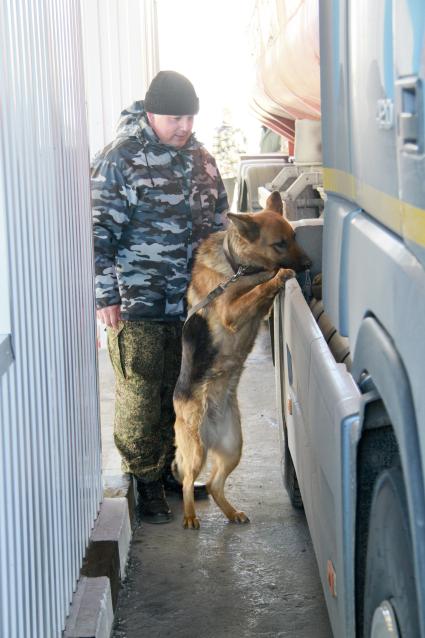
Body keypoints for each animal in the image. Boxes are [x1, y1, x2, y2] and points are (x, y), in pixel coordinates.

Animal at [171, 191, 308, 528]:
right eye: (279, 244)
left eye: (294, 237)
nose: (310, 265)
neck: (237, 267)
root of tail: (213, 426)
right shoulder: (230, 312)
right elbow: (260, 286)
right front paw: (278, 276)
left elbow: (259, 292)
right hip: (196, 451)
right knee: (188, 482)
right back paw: (190, 515)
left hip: (234, 448)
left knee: (213, 484)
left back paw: (232, 512)